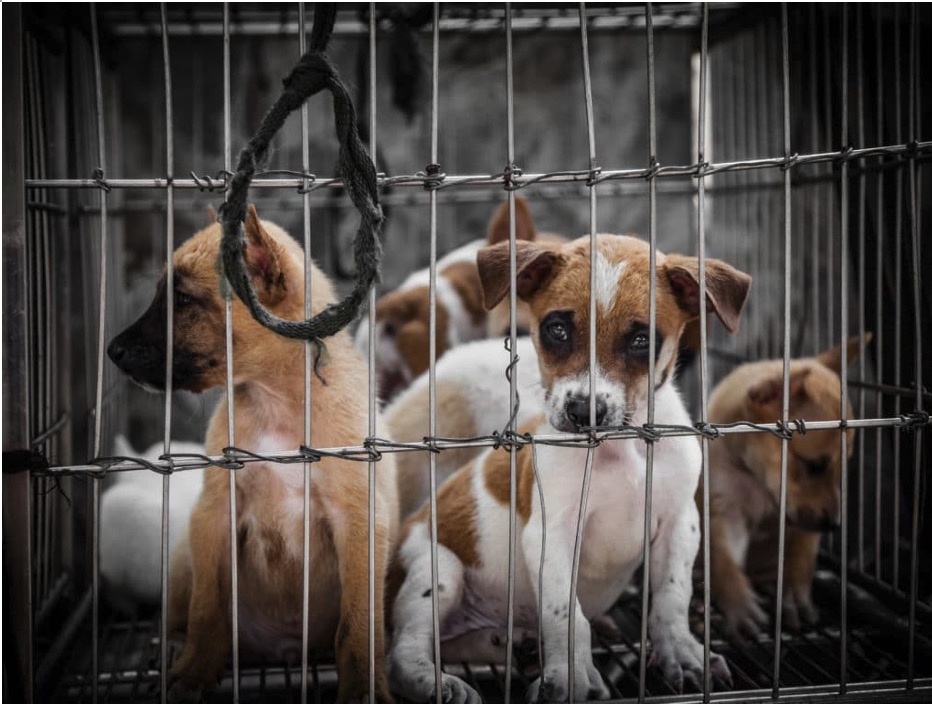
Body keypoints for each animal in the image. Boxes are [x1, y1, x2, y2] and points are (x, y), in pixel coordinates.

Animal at [387, 235, 749, 702]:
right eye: (557, 330)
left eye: (642, 340)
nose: (583, 411)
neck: (618, 449)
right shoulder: (552, 535)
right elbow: (566, 615)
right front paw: (570, 676)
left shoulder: (679, 525)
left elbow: (671, 599)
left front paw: (682, 654)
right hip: (436, 570)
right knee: (404, 651)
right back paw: (435, 682)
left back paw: (518, 645)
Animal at [703, 334, 870, 638]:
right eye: (814, 465)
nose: (834, 525)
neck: (755, 476)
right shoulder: (725, 511)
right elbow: (724, 561)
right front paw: (739, 604)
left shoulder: (802, 522)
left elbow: (800, 558)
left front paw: (794, 596)